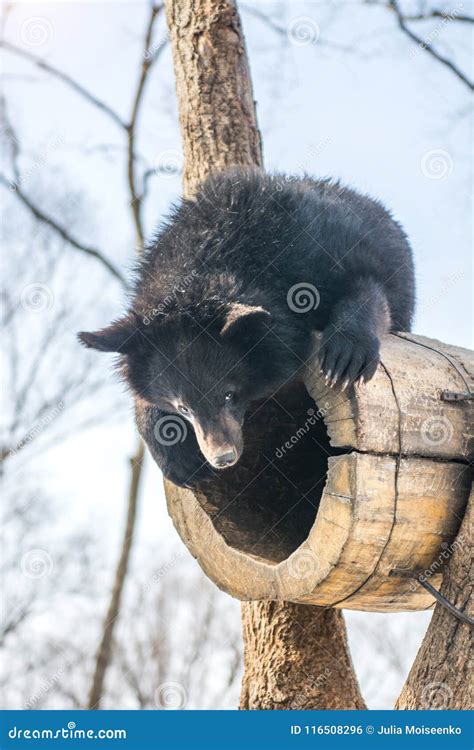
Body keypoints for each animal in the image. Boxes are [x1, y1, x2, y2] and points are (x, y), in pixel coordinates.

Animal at [79, 169, 415, 488]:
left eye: (229, 394)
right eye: (183, 408)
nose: (222, 459)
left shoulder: (325, 252)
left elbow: (367, 288)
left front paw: (344, 359)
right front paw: (179, 460)